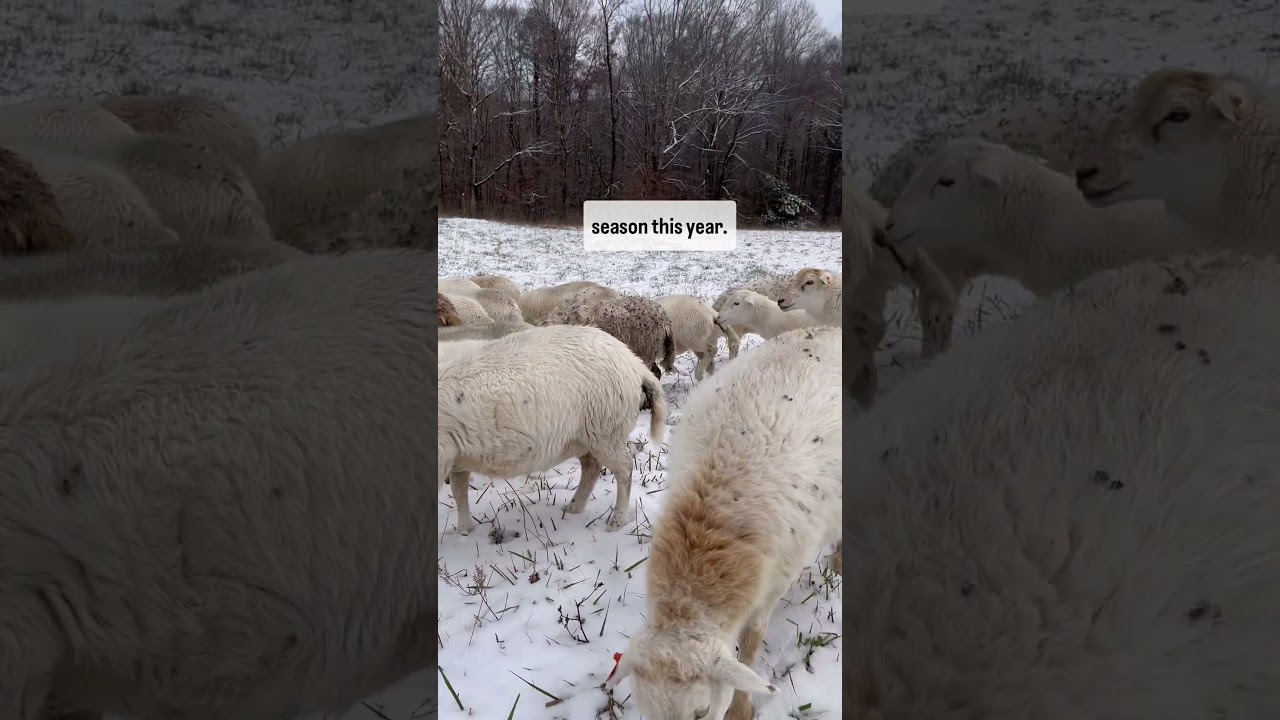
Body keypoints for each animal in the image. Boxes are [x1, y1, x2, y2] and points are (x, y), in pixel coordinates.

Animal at [438, 324, 668, 534]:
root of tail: (634, 362)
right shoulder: (457, 457)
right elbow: (459, 494)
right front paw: (465, 530)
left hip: (606, 430)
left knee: (624, 470)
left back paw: (616, 521)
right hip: (586, 436)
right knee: (592, 468)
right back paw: (575, 507)